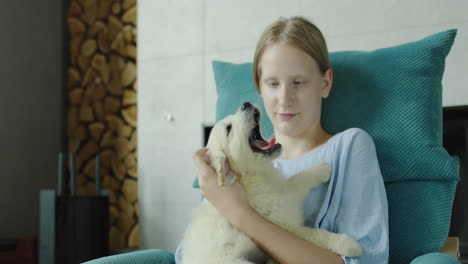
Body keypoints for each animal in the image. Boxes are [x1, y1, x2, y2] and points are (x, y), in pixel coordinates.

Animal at [182, 103, 362, 264]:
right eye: (228, 129)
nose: (246, 104)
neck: (251, 177)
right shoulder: (285, 226)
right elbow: (315, 234)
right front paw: (347, 243)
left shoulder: (282, 192)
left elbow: (295, 180)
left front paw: (320, 169)